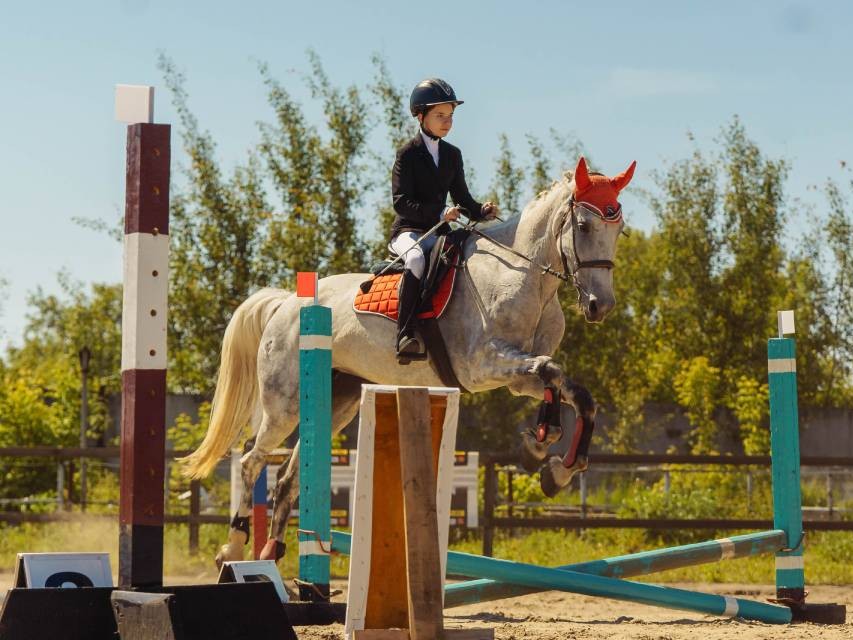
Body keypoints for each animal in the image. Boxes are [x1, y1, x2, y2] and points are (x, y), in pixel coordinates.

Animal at [181, 155, 632, 564]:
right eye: (584, 226)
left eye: (619, 229)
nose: (601, 306)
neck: (524, 278)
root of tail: (285, 303)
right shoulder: (483, 365)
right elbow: (552, 372)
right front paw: (543, 449)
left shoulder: (517, 376)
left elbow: (572, 390)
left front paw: (553, 464)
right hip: (284, 406)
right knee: (251, 461)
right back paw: (233, 549)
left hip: (337, 402)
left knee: (287, 479)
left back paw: (272, 554)